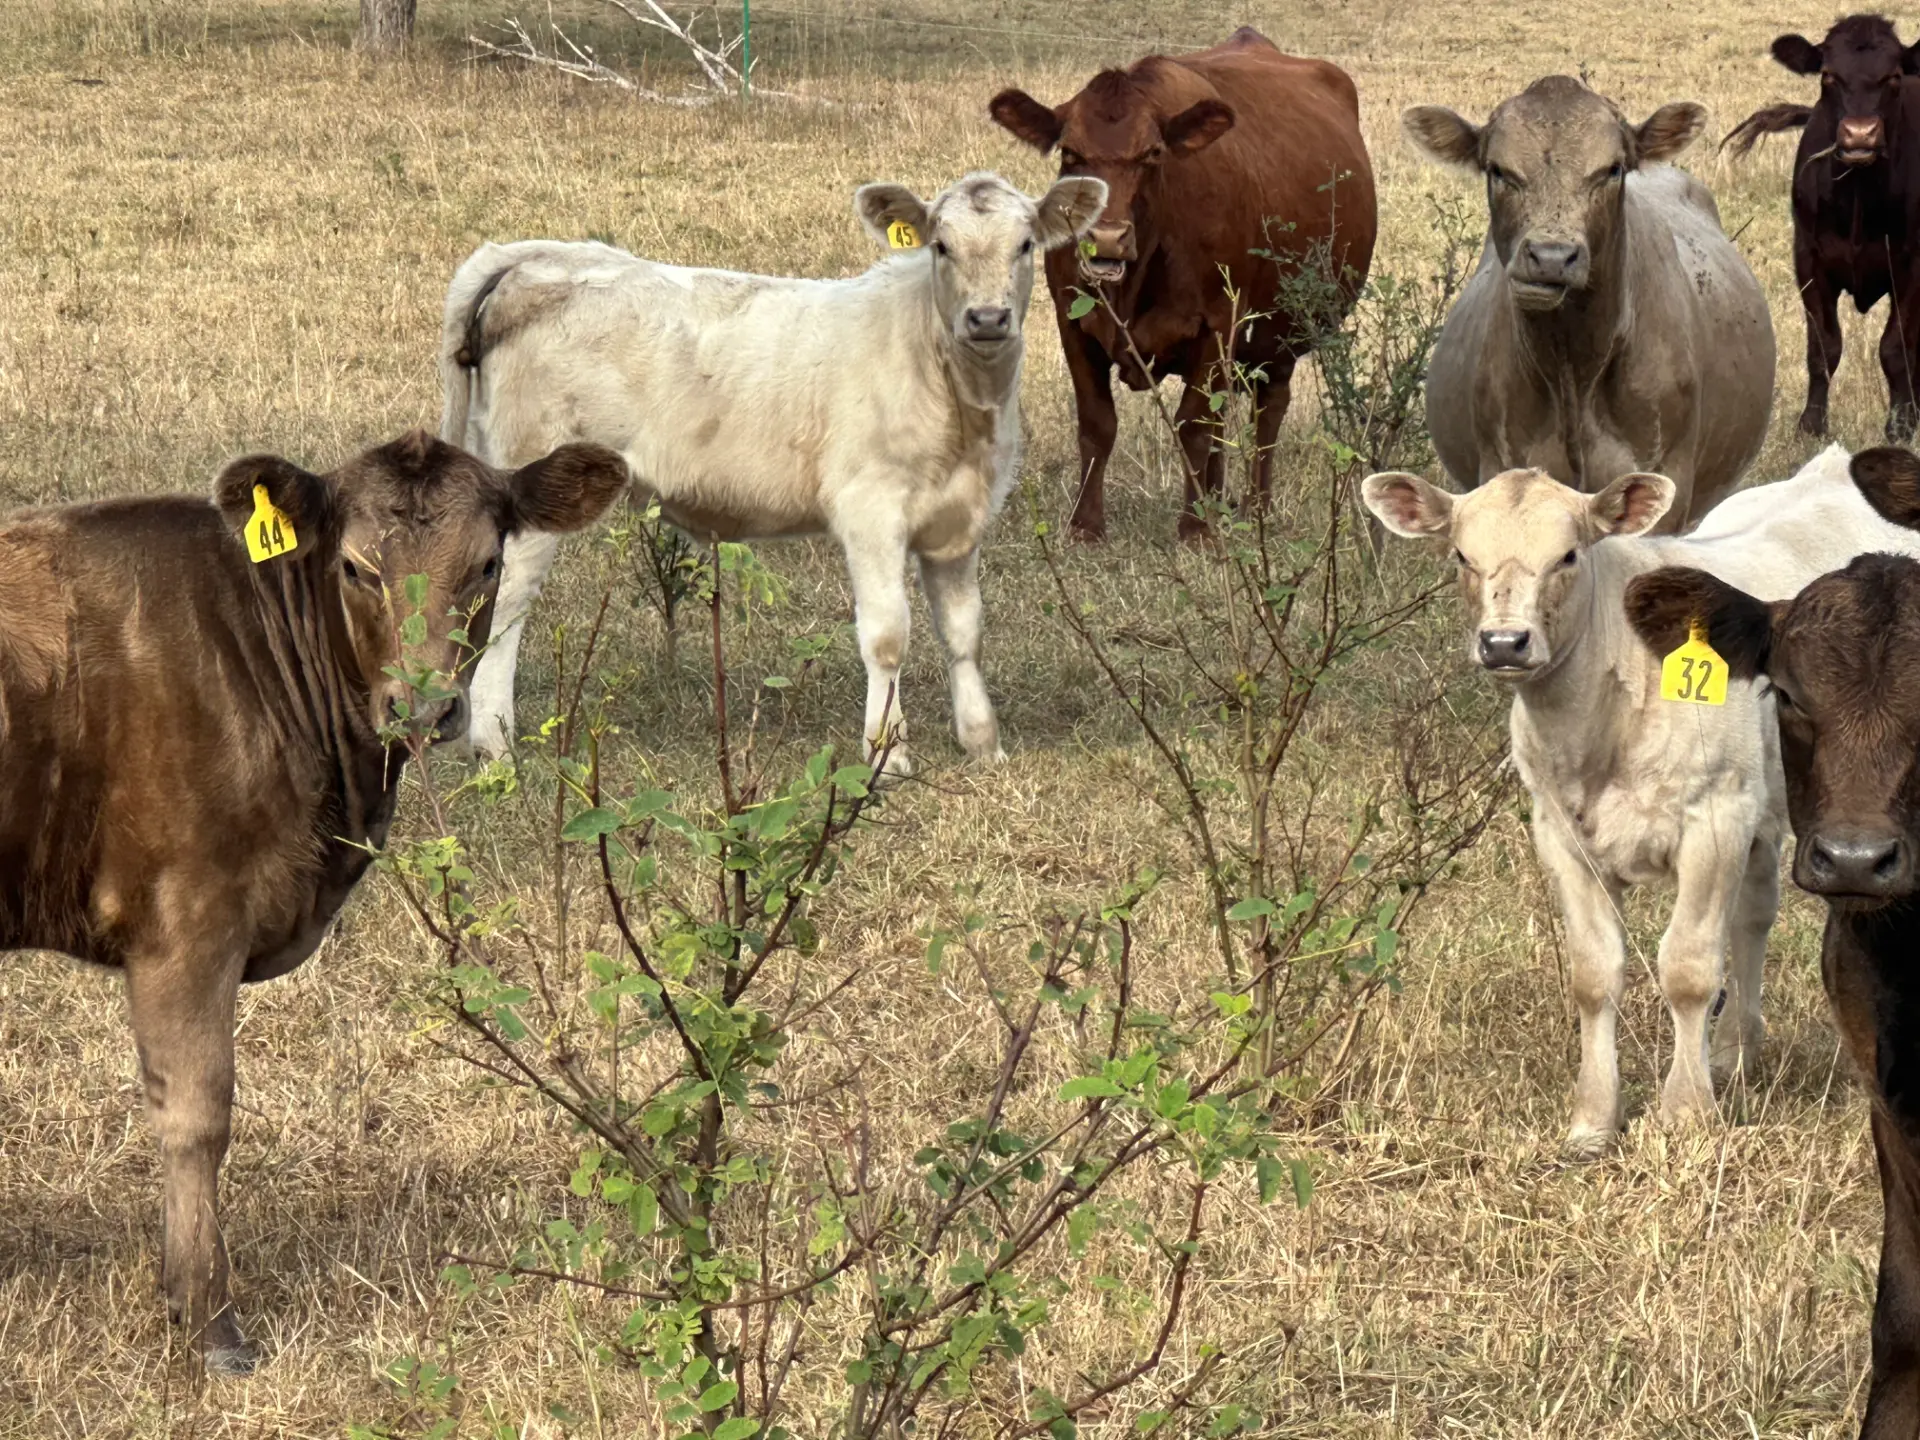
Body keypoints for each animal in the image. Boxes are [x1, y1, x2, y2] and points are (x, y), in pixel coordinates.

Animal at [0, 431, 629, 1373]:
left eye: (487, 564)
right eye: (355, 568)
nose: (424, 706)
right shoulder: (188, 921)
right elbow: (197, 1115)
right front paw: (212, 1322)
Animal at [440, 171, 1106, 772]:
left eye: (1026, 244)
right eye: (941, 245)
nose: (988, 318)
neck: (960, 402)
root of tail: (532, 255)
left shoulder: (960, 518)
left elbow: (964, 632)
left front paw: (983, 744)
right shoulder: (870, 510)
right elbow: (887, 635)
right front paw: (886, 755)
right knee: (502, 603)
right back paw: (495, 747)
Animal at [988, 26, 1377, 541]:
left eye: (1153, 153)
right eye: (1070, 153)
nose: (1106, 237)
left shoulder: (1217, 324)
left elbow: (1194, 424)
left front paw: (1194, 530)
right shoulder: (1070, 319)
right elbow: (1096, 423)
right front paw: (1084, 526)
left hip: (1283, 335)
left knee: (1266, 412)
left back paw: (1255, 508)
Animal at [1362, 445, 1920, 1154]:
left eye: (1569, 555)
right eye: (1461, 555)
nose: (1504, 643)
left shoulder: (1714, 818)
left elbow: (1687, 967)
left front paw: (1685, 1114)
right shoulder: (1560, 834)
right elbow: (1594, 974)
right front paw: (1594, 1119)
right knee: (1754, 913)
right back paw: (1735, 1052)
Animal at [1724, 15, 1920, 442]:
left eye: (1893, 76)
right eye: (1828, 75)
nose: (1860, 134)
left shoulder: (1914, 268)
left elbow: (1896, 348)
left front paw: (1901, 426)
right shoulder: (1809, 261)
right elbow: (1824, 348)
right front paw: (1811, 424)